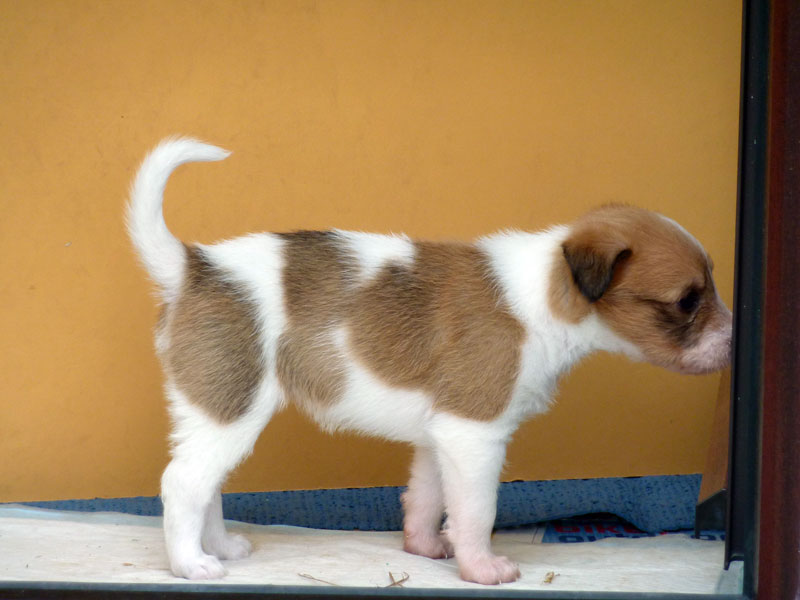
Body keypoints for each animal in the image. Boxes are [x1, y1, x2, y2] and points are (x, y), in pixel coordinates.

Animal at [127, 137, 732, 584]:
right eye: (688, 299)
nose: (735, 339)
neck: (544, 295)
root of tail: (193, 267)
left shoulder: (438, 434)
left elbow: (426, 496)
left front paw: (422, 547)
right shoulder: (474, 433)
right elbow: (476, 511)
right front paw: (483, 567)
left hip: (215, 411)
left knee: (206, 484)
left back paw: (220, 547)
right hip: (233, 409)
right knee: (183, 482)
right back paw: (191, 564)